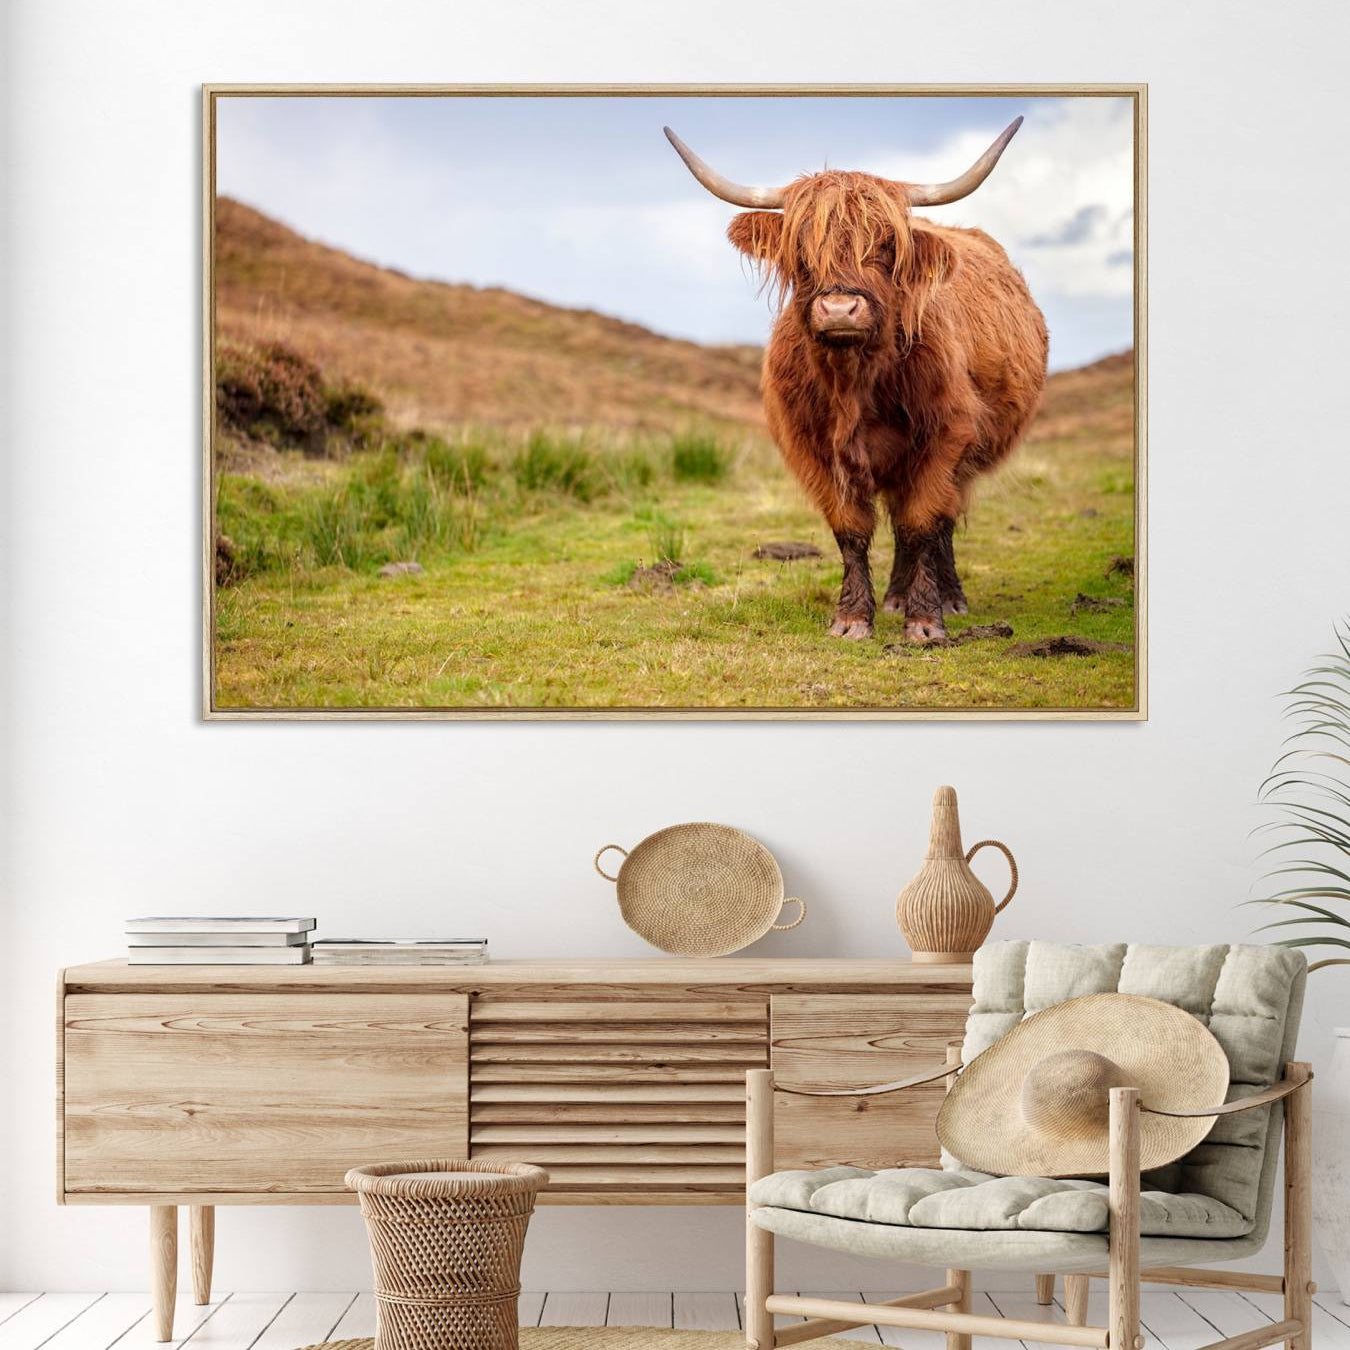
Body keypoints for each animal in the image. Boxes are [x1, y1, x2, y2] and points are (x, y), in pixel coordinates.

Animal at [665, 119, 1048, 643]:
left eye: (886, 245)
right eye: (801, 249)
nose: (840, 309)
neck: (855, 382)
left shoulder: (945, 437)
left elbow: (922, 522)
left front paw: (925, 622)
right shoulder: (815, 449)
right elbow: (851, 529)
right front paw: (851, 618)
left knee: (939, 522)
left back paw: (947, 596)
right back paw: (894, 597)